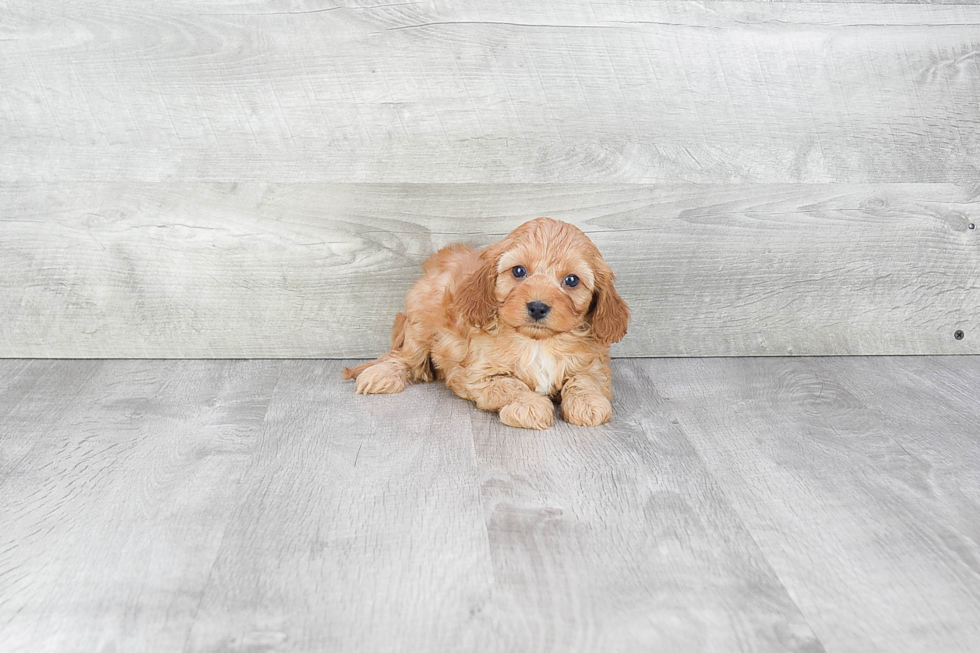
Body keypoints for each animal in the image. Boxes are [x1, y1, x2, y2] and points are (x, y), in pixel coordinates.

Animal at [344, 218, 632, 428]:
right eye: (518, 271)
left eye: (572, 280)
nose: (537, 306)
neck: (537, 343)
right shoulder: (480, 375)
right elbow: (511, 385)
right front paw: (530, 406)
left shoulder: (593, 366)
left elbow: (584, 381)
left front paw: (588, 404)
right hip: (420, 324)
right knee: (404, 356)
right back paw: (381, 374)